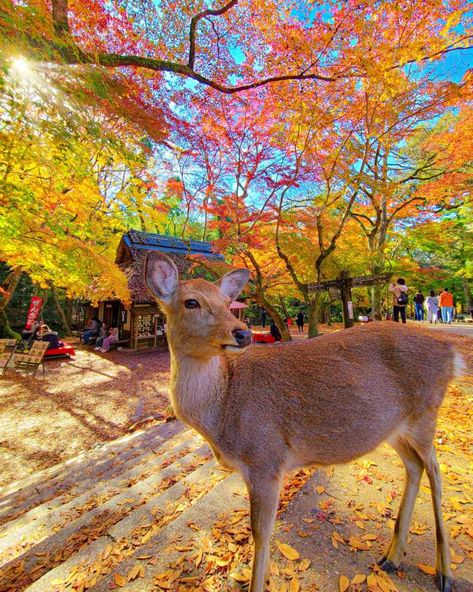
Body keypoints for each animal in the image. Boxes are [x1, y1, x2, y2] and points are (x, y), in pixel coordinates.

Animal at [145, 252, 460, 592]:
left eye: (227, 302)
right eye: (191, 302)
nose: (242, 333)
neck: (224, 409)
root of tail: (453, 355)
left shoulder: (266, 458)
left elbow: (261, 533)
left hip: (426, 411)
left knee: (436, 473)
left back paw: (444, 573)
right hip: (396, 429)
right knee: (414, 467)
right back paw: (392, 557)